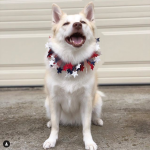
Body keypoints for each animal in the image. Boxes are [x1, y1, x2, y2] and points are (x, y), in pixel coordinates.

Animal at [43, 2, 103, 150]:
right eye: (66, 23)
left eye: (83, 22)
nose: (77, 25)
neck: (72, 62)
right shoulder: (53, 100)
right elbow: (56, 125)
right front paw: (51, 140)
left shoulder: (87, 100)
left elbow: (86, 126)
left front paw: (89, 142)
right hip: (47, 102)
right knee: (55, 120)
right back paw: (50, 122)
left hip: (98, 100)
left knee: (93, 116)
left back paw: (97, 120)